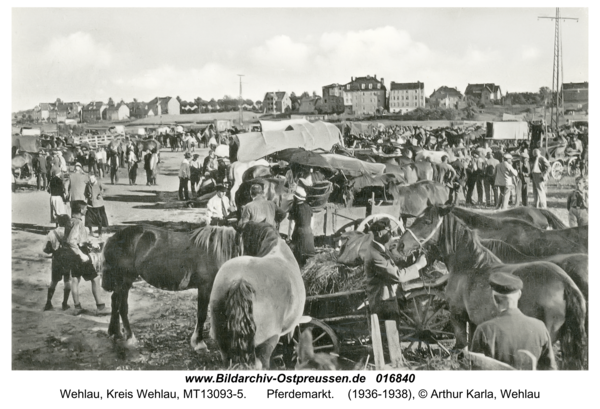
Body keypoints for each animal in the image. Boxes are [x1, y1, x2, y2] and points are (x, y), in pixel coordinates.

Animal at [392, 206, 588, 368]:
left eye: (426, 221)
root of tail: (565, 283)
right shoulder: (474, 322)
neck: (470, 265)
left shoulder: (458, 317)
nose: (400, 245)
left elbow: (461, 349)